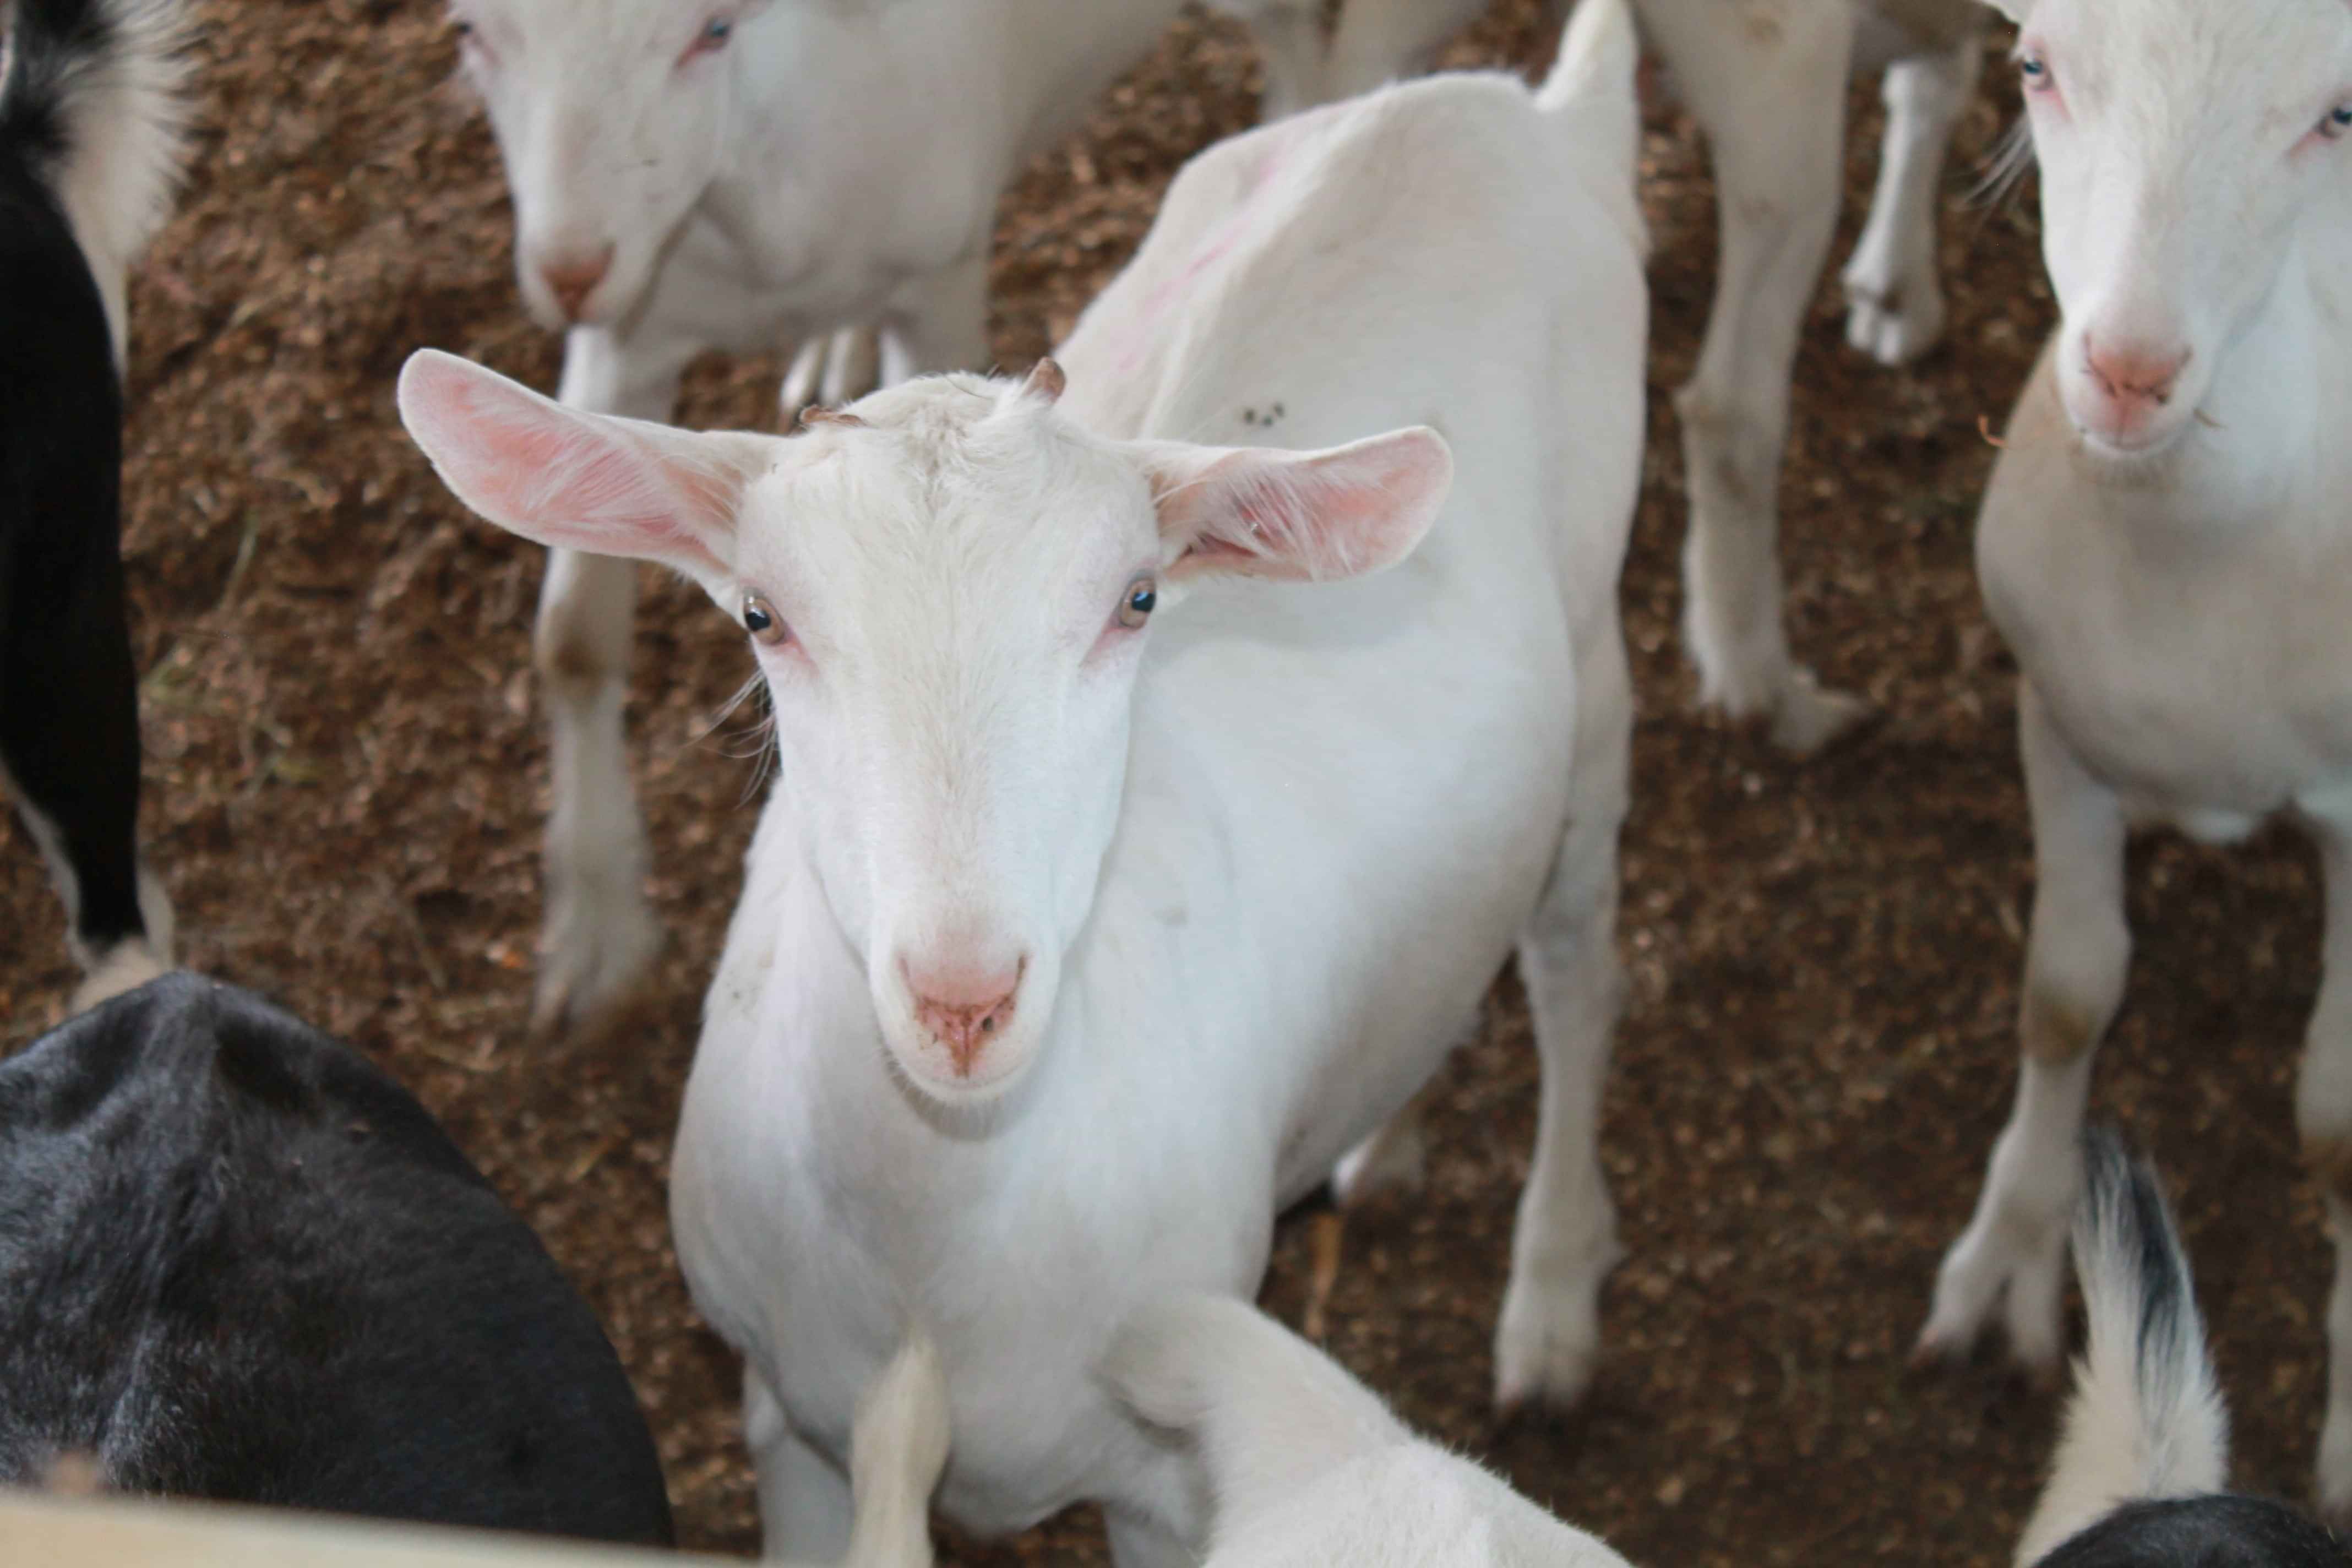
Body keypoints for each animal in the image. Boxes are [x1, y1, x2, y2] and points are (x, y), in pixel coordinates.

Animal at [444, 0, 1492, 1034]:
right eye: (470, 32)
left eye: (710, 31)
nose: (571, 271)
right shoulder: (633, 329)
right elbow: (574, 638)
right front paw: (592, 932)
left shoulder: (938, 270)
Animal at [1914, 0, 2352, 1519]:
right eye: (2037, 64)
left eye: (2338, 112)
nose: (2127, 370)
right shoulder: (2061, 719)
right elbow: (2065, 991)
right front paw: (2005, 1266)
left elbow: (2337, 1119)